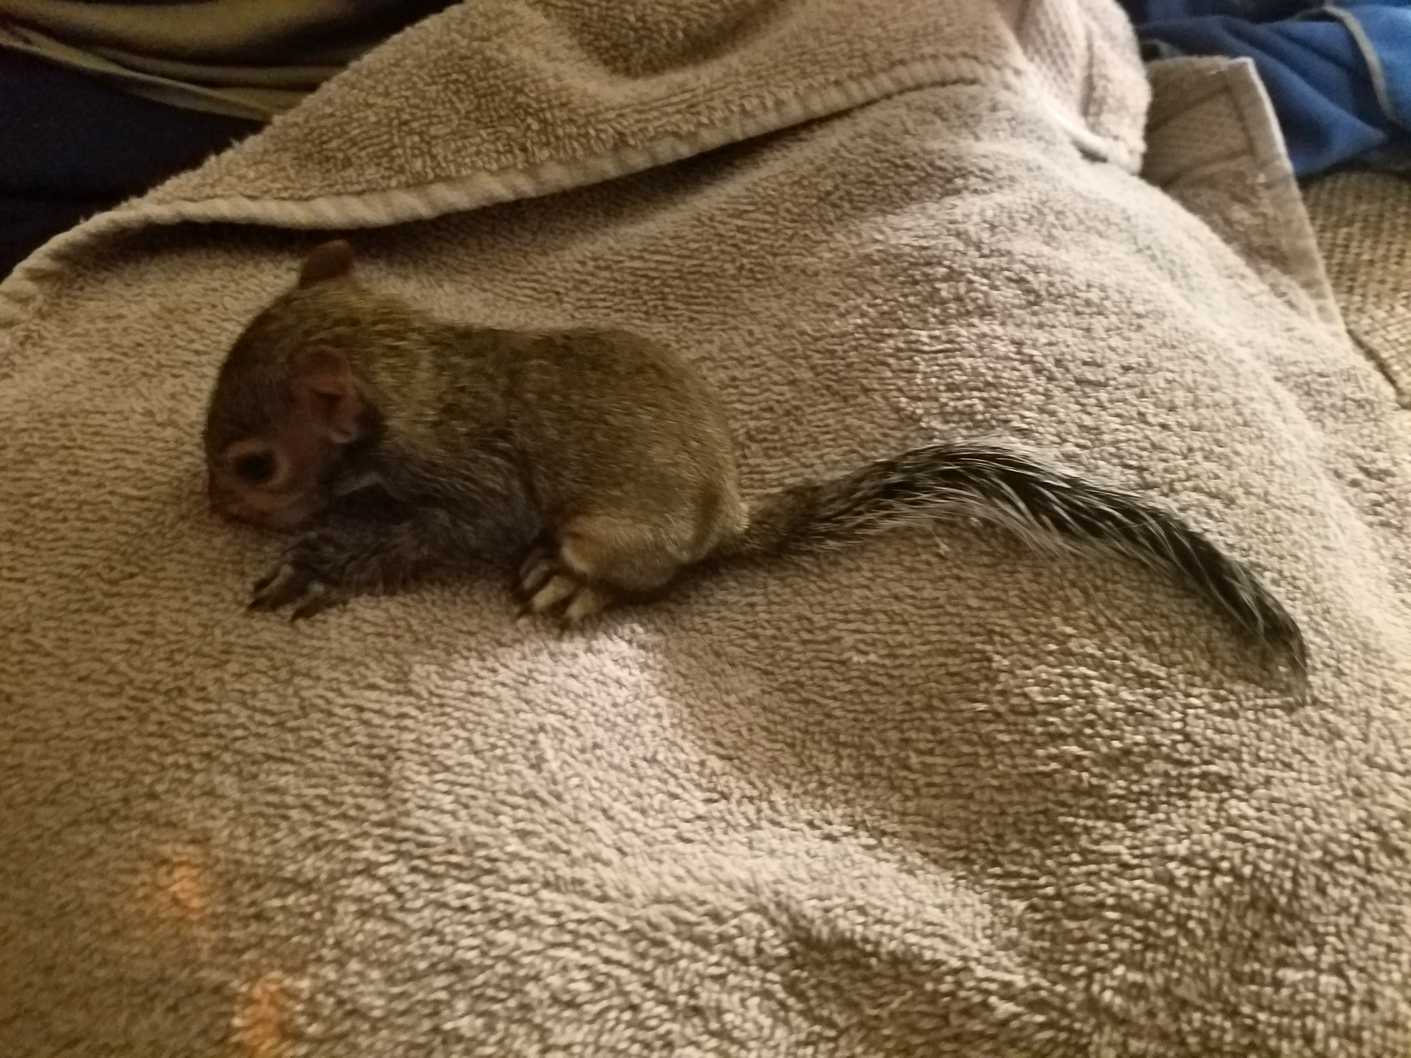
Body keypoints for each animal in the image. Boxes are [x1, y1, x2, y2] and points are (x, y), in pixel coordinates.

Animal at [203, 240, 1308, 674]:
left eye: (255, 465)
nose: (212, 505)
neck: (413, 367)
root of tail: (725, 519)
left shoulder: (467, 476)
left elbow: (452, 529)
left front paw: (326, 557)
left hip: (610, 532)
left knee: (646, 581)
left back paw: (571, 585)